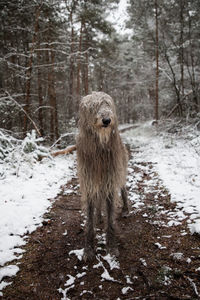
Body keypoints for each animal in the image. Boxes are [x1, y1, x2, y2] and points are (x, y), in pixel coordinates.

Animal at [76, 91, 128, 260]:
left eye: (108, 104)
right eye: (94, 106)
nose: (107, 120)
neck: (99, 147)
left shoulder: (110, 180)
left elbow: (110, 219)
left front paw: (111, 246)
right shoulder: (89, 182)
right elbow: (89, 219)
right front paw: (88, 249)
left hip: (120, 169)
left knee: (123, 188)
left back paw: (126, 208)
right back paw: (99, 216)